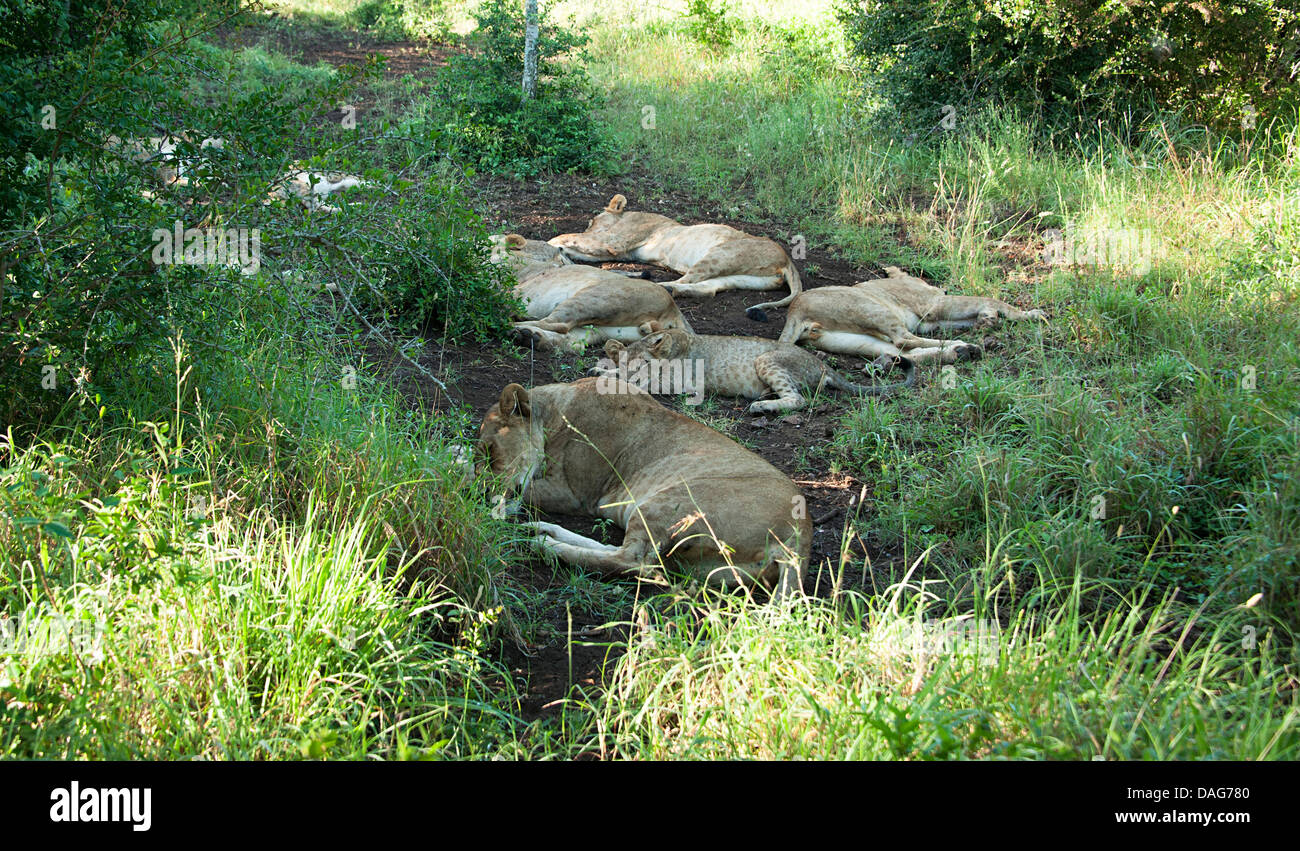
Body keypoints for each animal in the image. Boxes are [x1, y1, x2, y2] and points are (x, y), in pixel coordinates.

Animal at [480, 379, 800, 600]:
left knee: (634, 563)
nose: (482, 497)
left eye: (490, 451)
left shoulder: (573, 494)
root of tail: (800, 531)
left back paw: (546, 545)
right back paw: (545, 530)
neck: (554, 413)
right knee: (626, 553)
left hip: (672, 500)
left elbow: (523, 492)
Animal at [488, 231, 691, 350]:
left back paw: (510, 324)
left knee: (558, 324)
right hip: (604, 330)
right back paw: (529, 337)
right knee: (570, 340)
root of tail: (676, 313)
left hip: (595, 298)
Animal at [548, 193, 800, 309]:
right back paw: (671, 289)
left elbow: (573, 237)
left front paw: (550, 244)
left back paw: (656, 286)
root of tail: (788, 259)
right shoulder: (621, 252)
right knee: (707, 288)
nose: (589, 224)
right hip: (741, 276)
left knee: (688, 279)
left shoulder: (614, 242)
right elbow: (579, 247)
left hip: (720, 255)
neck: (626, 215)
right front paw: (562, 252)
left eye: (591, 221)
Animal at [595, 326, 915, 415]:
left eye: (644, 365)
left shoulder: (680, 381)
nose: (630, 376)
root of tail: (823, 364)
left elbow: (650, 384)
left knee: (798, 399)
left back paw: (762, 406)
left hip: (767, 359)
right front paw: (605, 371)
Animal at [759, 265, 1045, 361]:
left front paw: (987, 319)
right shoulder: (934, 305)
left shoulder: (934, 318)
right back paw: (962, 345)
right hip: (873, 309)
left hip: (855, 340)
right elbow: (989, 298)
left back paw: (964, 351)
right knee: (903, 340)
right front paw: (1031, 314)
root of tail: (795, 311)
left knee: (904, 353)